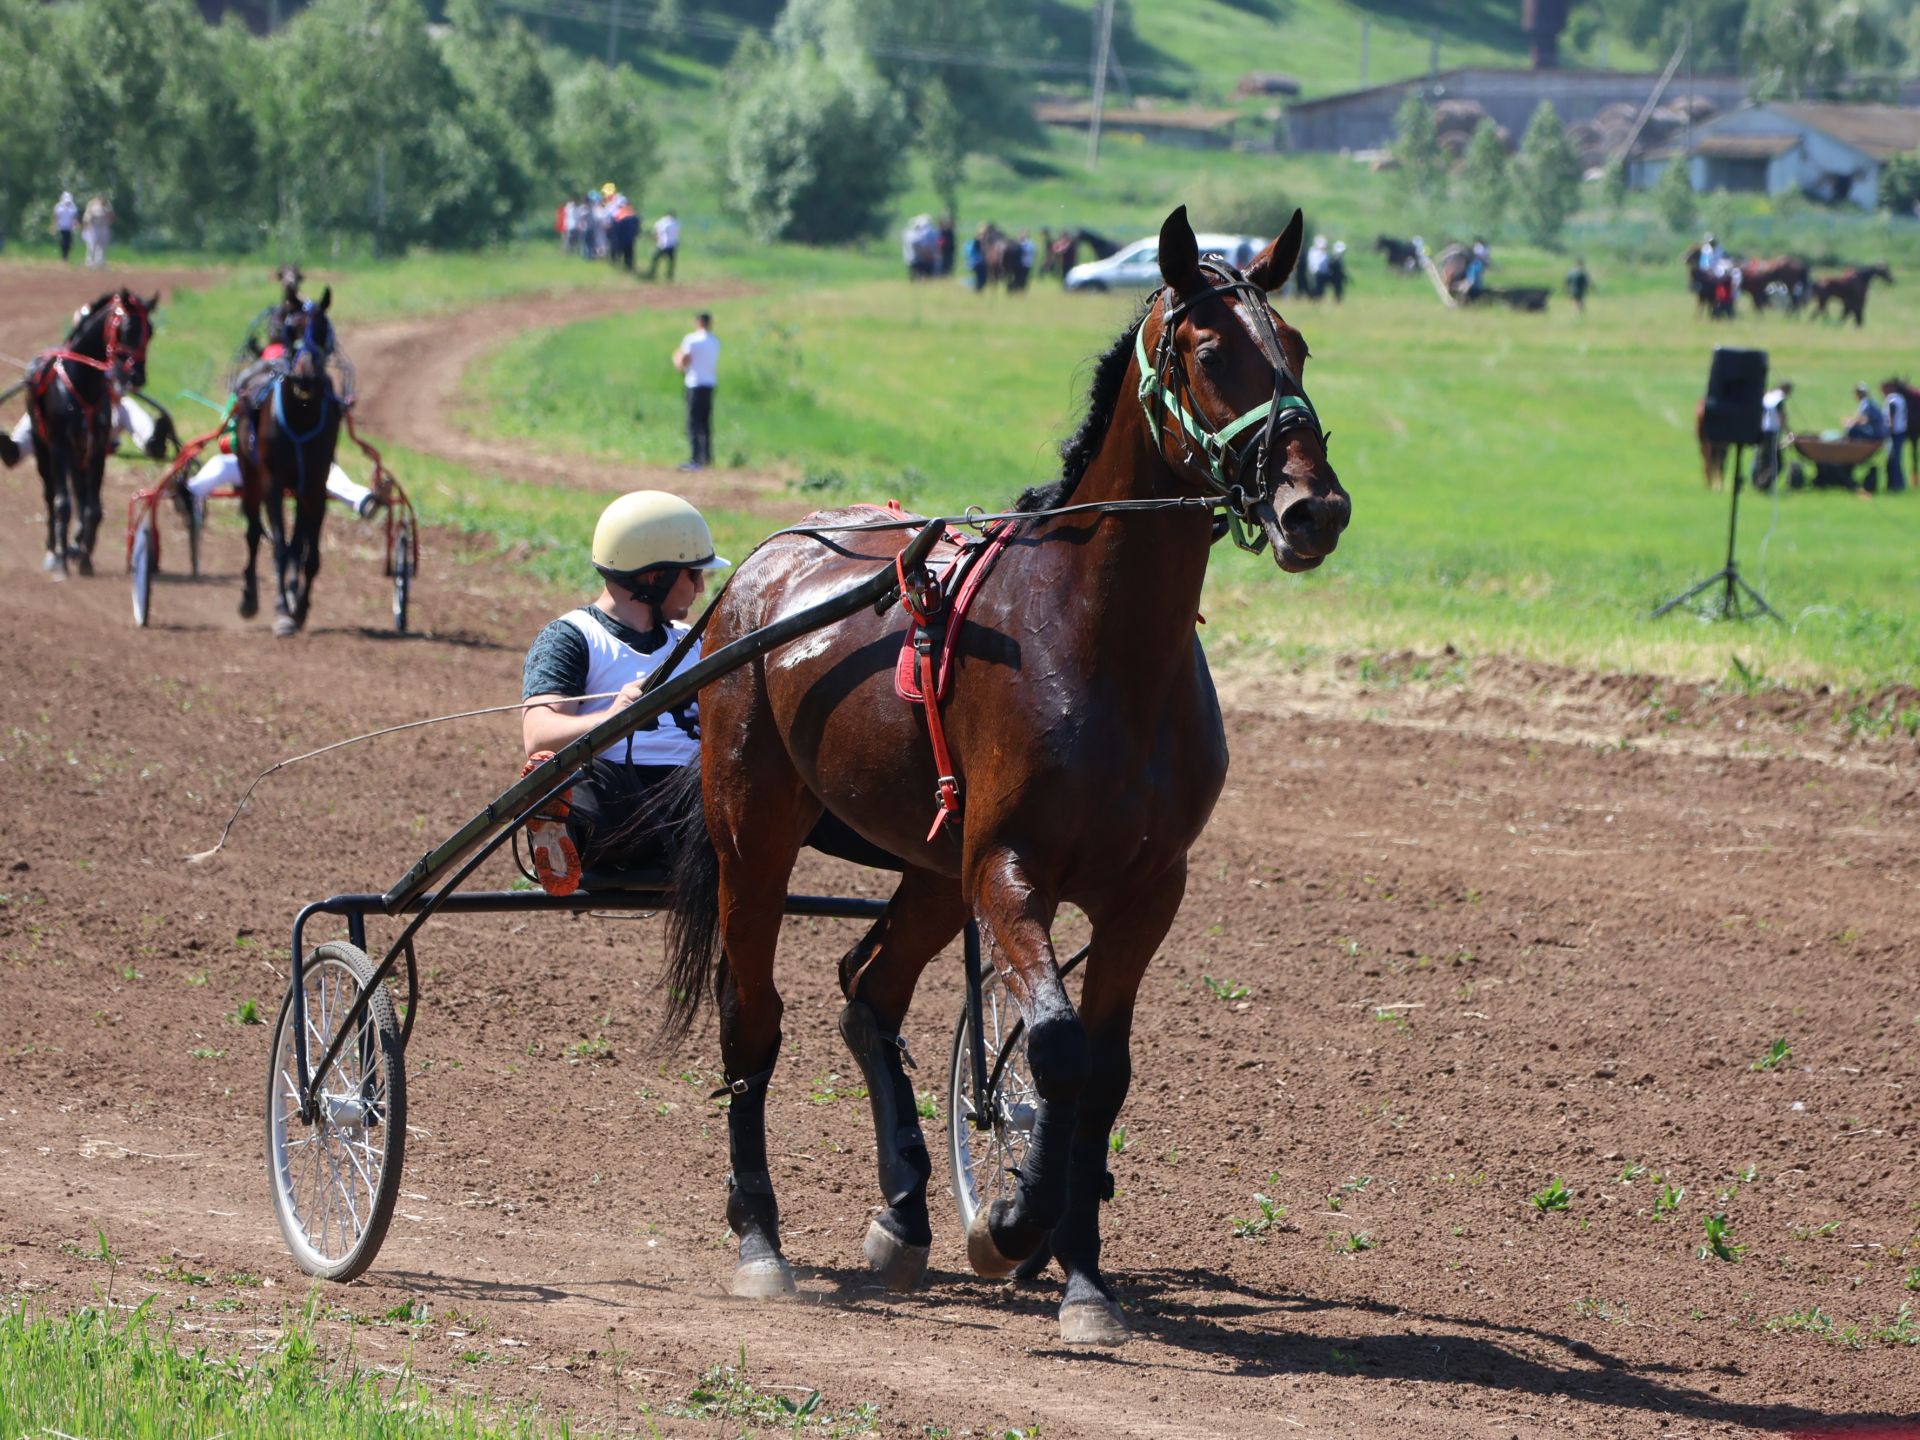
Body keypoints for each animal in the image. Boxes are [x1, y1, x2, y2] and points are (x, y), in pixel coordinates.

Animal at [19, 289, 155, 579]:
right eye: (127, 328)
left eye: (150, 330)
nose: (137, 376)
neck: (81, 382)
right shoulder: (59, 445)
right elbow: (62, 504)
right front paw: (60, 560)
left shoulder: (97, 449)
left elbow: (93, 508)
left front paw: (85, 557)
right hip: (43, 446)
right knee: (50, 495)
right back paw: (54, 549)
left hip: (80, 452)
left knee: (80, 493)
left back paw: (74, 544)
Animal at [232, 289, 341, 633]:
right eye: (291, 329)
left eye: (322, 330)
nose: (305, 376)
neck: (301, 415)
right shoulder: (273, 483)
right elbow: (279, 548)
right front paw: (282, 611)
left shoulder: (315, 486)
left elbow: (308, 554)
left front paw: (300, 607)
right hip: (250, 476)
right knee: (253, 534)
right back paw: (249, 598)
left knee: (296, 543)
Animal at [660, 208, 1351, 1351]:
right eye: (1213, 353)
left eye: (1297, 346)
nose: (1315, 508)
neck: (1104, 644)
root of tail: (760, 568)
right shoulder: (1009, 866)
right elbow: (1057, 1047)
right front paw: (1016, 1218)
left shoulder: (1147, 889)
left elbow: (1106, 1071)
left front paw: (1084, 1274)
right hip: (754, 827)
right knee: (751, 1011)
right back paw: (759, 1238)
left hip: (933, 867)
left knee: (869, 992)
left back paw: (903, 1214)